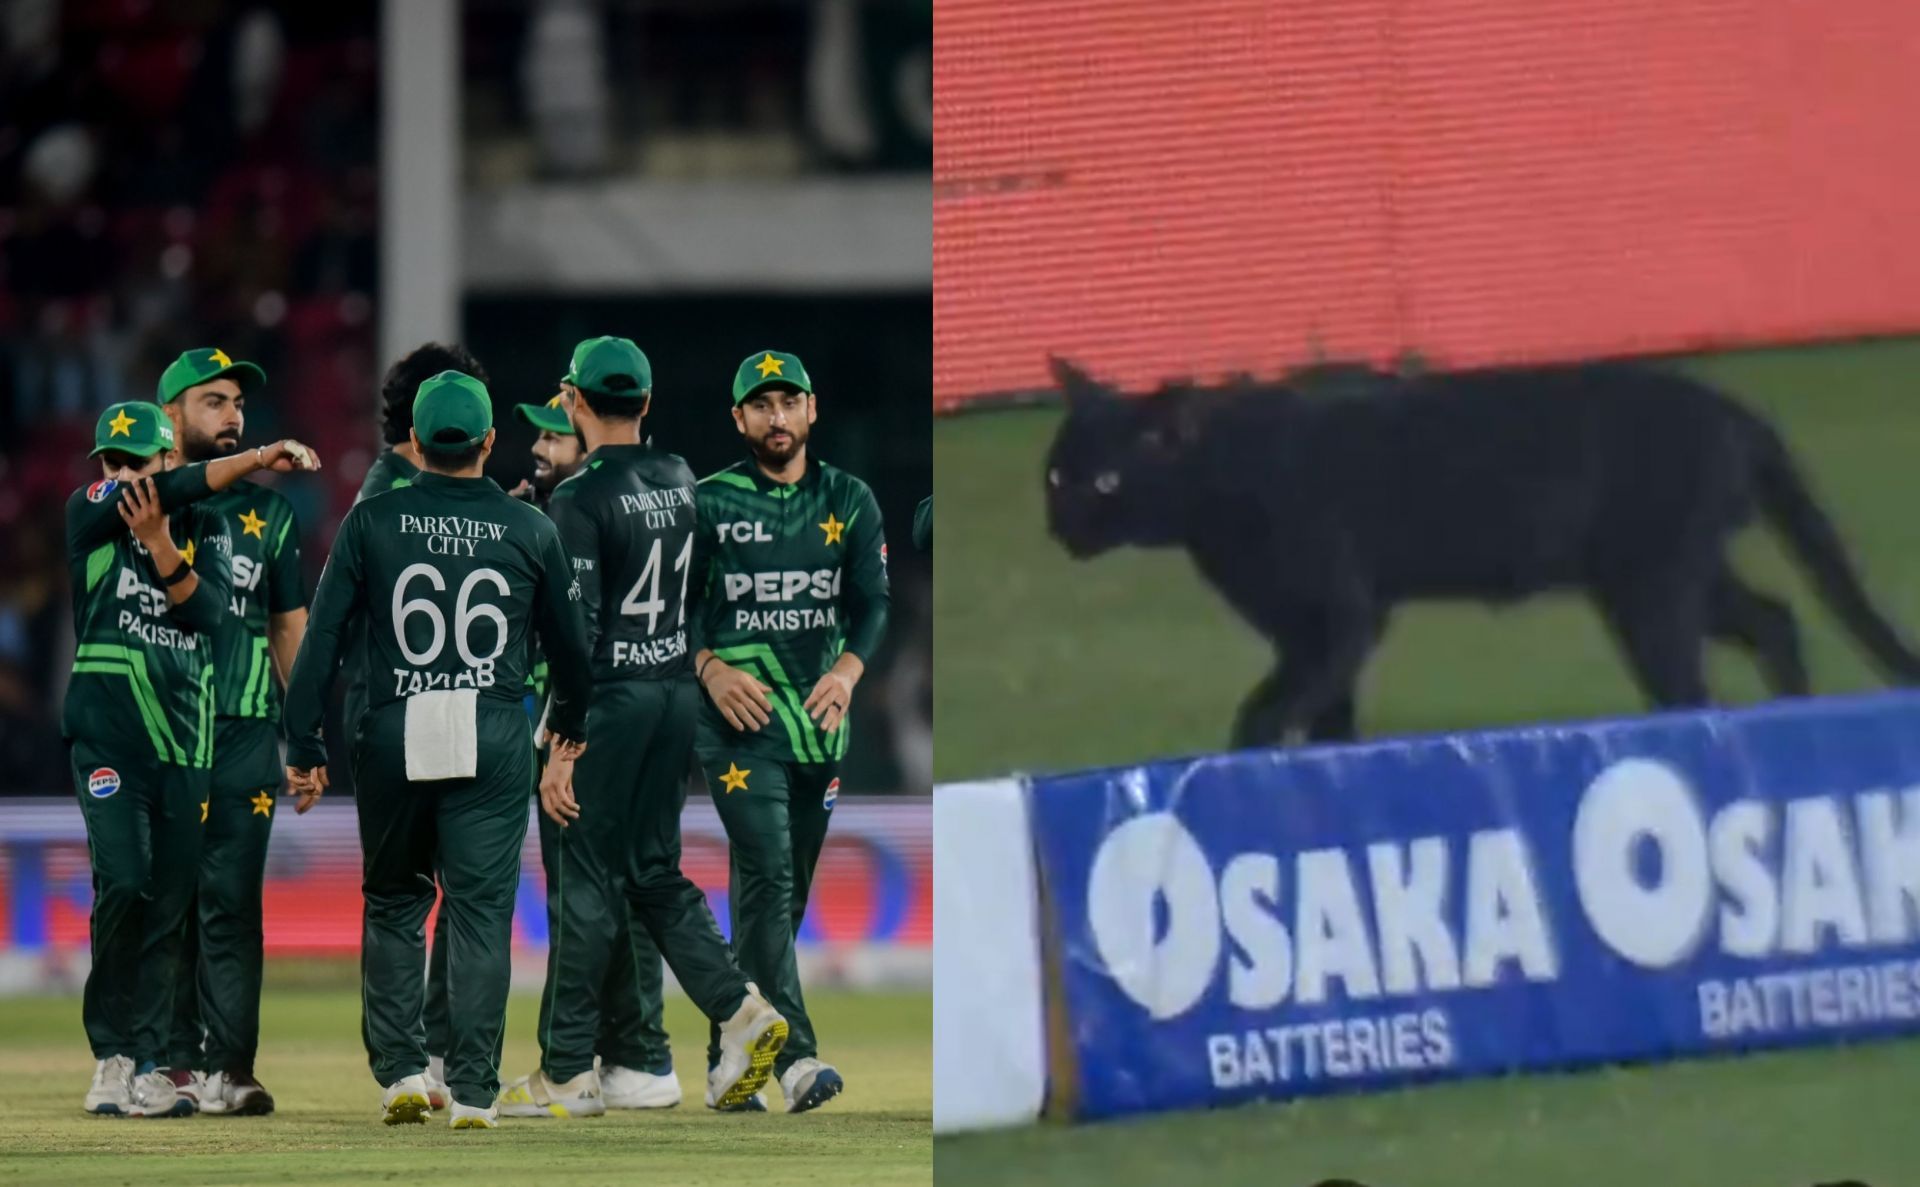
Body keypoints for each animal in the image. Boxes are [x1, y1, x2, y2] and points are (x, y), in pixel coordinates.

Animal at [1044, 351, 1920, 745]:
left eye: (1108, 481)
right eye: (1056, 474)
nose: (1060, 524)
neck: (1225, 473)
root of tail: (1735, 408)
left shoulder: (1340, 617)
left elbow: (1266, 706)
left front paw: (1239, 761)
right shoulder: (1314, 634)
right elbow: (1326, 711)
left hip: (1653, 589)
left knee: (1696, 685)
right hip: (1675, 576)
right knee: (1775, 617)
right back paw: (1796, 715)